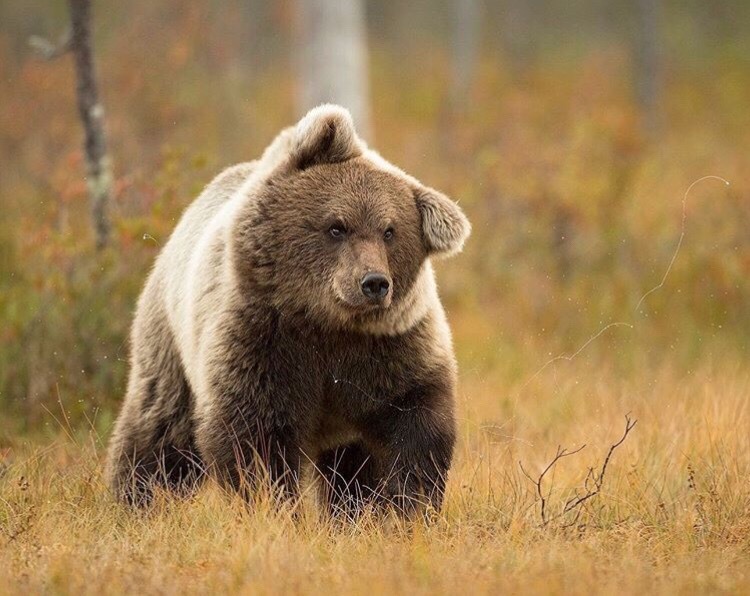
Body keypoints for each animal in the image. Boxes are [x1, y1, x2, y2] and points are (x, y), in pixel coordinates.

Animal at [106, 106, 470, 516]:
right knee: (161, 427)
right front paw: (272, 507)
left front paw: (407, 508)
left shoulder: (391, 350)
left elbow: (417, 426)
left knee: (349, 468)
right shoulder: (263, 344)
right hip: (171, 339)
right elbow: (255, 439)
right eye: (337, 226)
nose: (374, 283)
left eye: (389, 231)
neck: (327, 324)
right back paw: (136, 497)